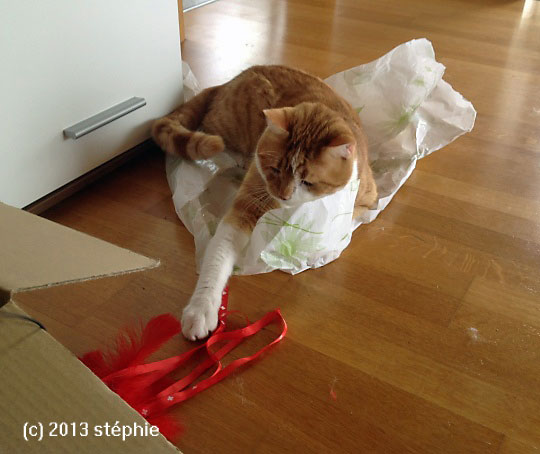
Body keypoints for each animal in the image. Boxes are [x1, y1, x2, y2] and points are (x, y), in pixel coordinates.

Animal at [152, 65, 377, 340]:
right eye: (274, 169)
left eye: (307, 182)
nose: (284, 196)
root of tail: (229, 80)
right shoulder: (249, 201)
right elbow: (218, 255)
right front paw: (201, 308)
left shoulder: (366, 200)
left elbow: (345, 223)